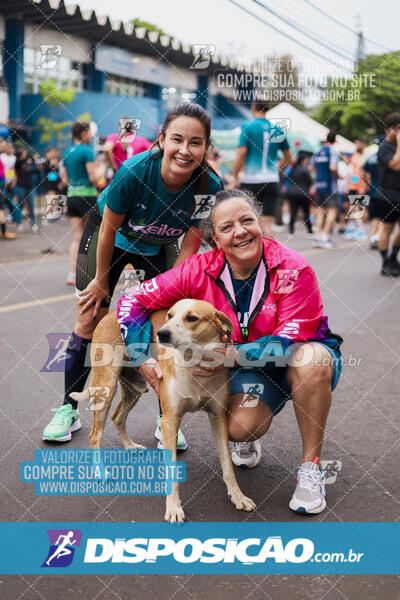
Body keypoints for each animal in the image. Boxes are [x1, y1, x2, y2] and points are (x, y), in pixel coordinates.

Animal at [70, 300, 255, 520]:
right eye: (169, 315)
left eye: (191, 318)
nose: (161, 334)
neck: (193, 366)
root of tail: (110, 314)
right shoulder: (170, 421)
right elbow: (172, 470)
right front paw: (174, 508)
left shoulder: (219, 417)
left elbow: (227, 464)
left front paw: (238, 496)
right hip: (106, 388)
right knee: (95, 434)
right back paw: (100, 471)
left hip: (135, 389)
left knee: (117, 417)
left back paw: (130, 446)